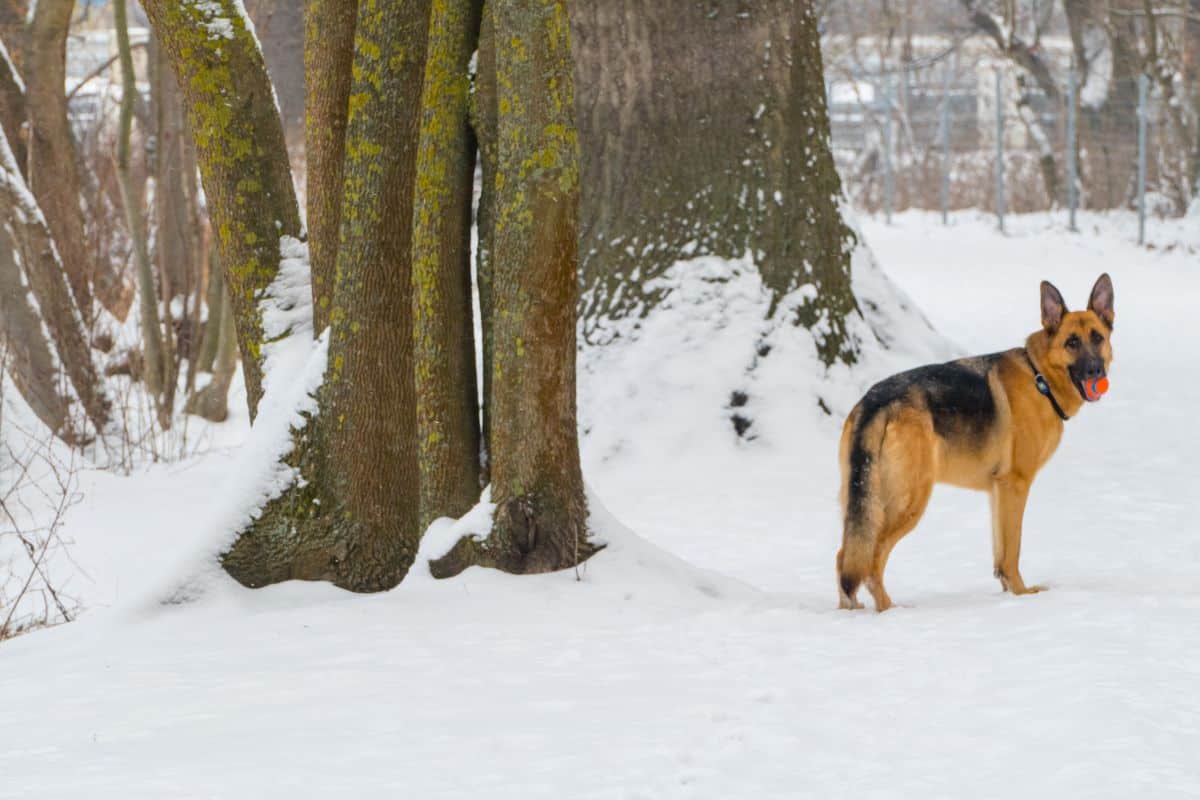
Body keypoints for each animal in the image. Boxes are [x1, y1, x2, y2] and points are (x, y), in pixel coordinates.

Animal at [835, 272, 1113, 609]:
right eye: (1072, 342)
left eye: (1098, 338)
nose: (1095, 371)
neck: (1041, 378)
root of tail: (875, 402)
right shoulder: (1015, 485)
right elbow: (1012, 550)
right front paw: (1021, 595)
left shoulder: (997, 491)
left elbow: (1000, 551)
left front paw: (1007, 593)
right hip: (908, 501)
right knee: (872, 559)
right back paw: (889, 610)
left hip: (863, 503)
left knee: (845, 558)